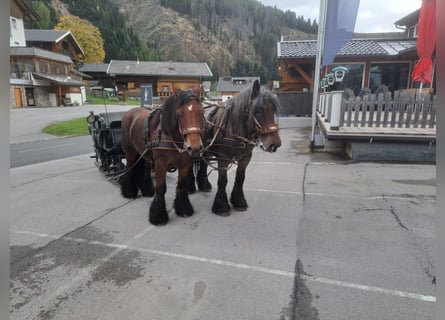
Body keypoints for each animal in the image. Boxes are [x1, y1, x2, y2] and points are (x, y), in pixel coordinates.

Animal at [121, 84, 205, 226]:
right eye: (179, 114)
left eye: (202, 112)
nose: (194, 147)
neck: (171, 136)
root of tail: (129, 112)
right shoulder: (161, 165)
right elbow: (161, 188)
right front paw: (158, 216)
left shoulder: (185, 164)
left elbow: (181, 185)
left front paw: (183, 208)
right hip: (130, 152)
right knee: (129, 169)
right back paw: (129, 191)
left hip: (146, 154)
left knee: (145, 169)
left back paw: (147, 190)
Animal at [188, 79, 280, 216]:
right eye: (258, 111)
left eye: (273, 109)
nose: (275, 144)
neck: (234, 129)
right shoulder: (223, 158)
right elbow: (222, 181)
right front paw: (221, 206)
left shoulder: (245, 158)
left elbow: (240, 178)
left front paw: (239, 202)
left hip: (206, 151)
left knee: (204, 165)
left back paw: (204, 185)